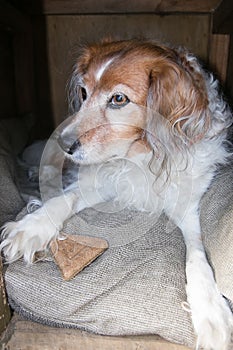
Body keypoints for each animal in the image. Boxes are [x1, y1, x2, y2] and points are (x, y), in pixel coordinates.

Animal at [0, 39, 233, 348]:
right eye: (84, 92)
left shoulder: (187, 209)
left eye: (118, 99)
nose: (63, 143)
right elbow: (64, 199)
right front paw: (30, 228)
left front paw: (211, 310)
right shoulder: (98, 182)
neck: (143, 154)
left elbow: (196, 256)